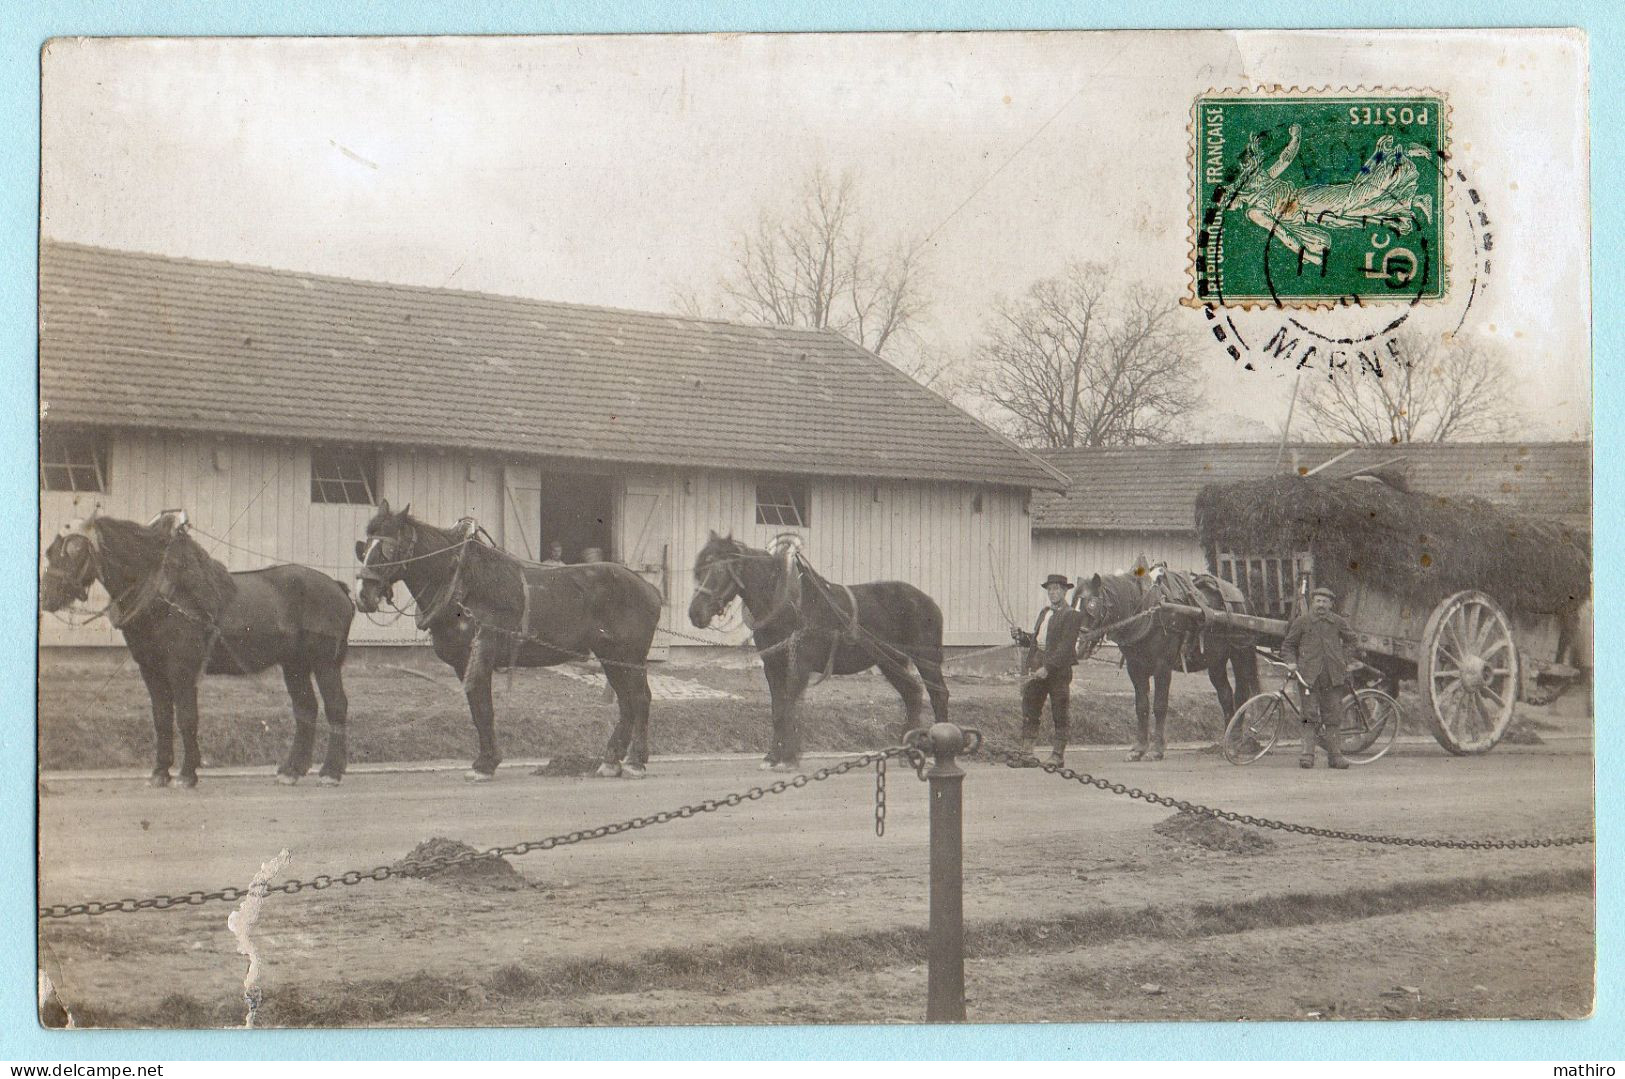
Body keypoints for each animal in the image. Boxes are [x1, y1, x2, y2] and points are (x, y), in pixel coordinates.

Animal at [40, 513, 355, 783]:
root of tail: (338, 587)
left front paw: (188, 772)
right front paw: (160, 771)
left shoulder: (182, 668)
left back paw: (331, 771)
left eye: (74, 550)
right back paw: (293, 769)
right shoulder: (151, 669)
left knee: (336, 707)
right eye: (50, 551)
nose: (46, 596)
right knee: (306, 709)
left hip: (324, 662)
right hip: (295, 664)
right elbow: (162, 718)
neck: (163, 594)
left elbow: (187, 717)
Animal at [354, 500, 659, 780]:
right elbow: (477, 711)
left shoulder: (482, 654)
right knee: (626, 703)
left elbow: (484, 709)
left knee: (640, 698)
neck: (464, 583)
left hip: (629, 656)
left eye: (388, 550)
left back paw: (635, 761)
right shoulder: (462, 663)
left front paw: (485, 764)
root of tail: (648, 588)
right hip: (611, 657)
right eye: (364, 548)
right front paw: (486, 761)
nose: (362, 596)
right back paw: (611, 761)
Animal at [689, 529, 949, 767]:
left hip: (926, 659)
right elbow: (777, 711)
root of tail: (929, 602)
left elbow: (789, 709)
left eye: (719, 570)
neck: (787, 603)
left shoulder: (800, 665)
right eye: (699, 570)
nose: (695, 613)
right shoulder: (773, 665)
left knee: (938, 695)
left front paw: (788, 757)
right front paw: (773, 756)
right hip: (889, 661)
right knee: (912, 693)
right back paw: (906, 753)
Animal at [1079, 565, 1254, 757]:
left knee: (1241, 694)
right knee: (1226, 696)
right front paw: (1139, 749)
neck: (1148, 612)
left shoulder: (1162, 667)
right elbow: (1141, 707)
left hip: (1241, 653)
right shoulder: (1135, 668)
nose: (1079, 643)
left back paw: (1235, 742)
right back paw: (1226, 742)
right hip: (1216, 661)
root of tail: (1242, 597)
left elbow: (1160, 706)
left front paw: (1157, 750)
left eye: (1092, 606)